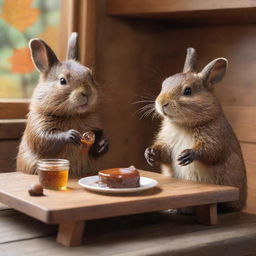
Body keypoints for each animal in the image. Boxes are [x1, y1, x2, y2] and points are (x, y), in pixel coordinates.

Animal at [16, 32, 108, 177]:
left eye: (91, 76)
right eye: (62, 80)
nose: (87, 93)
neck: (74, 116)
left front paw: (103, 145)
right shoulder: (38, 127)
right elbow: (46, 139)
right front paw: (71, 135)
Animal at [145, 47, 247, 210]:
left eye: (188, 91)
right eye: (164, 84)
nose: (162, 103)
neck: (183, 125)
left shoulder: (216, 140)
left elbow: (210, 151)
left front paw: (186, 155)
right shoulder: (167, 144)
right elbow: (163, 153)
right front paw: (150, 153)